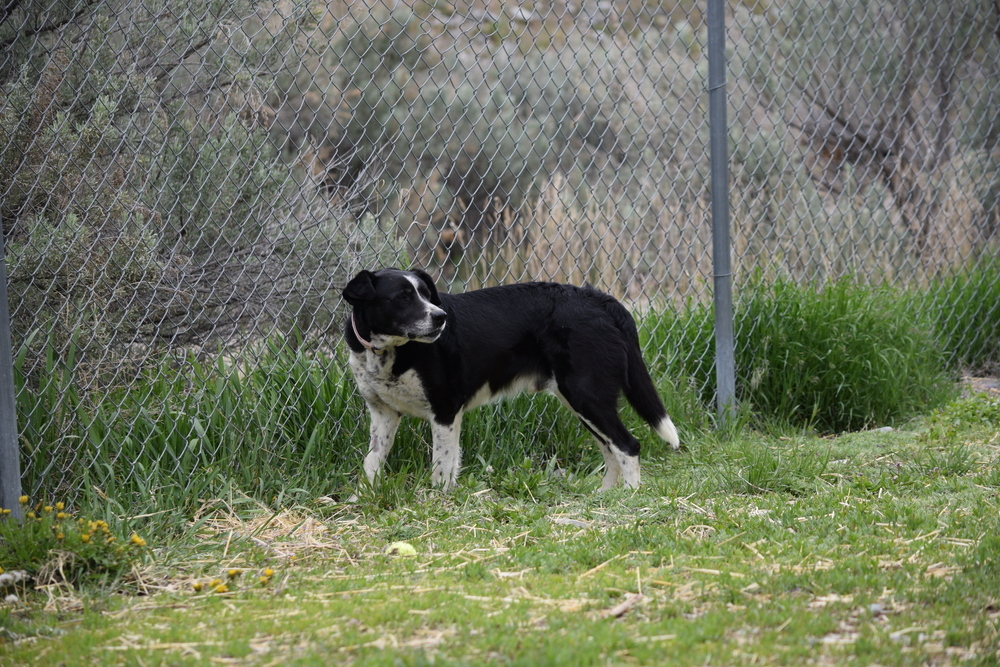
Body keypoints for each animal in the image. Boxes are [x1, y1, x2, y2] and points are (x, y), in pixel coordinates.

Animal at [344, 268, 680, 494]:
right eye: (402, 297)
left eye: (426, 295)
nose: (440, 317)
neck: (389, 351)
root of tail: (599, 298)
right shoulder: (384, 415)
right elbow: (372, 462)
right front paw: (364, 497)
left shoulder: (445, 411)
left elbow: (441, 465)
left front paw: (437, 501)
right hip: (581, 401)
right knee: (610, 449)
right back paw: (605, 495)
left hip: (587, 395)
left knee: (628, 445)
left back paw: (629, 496)